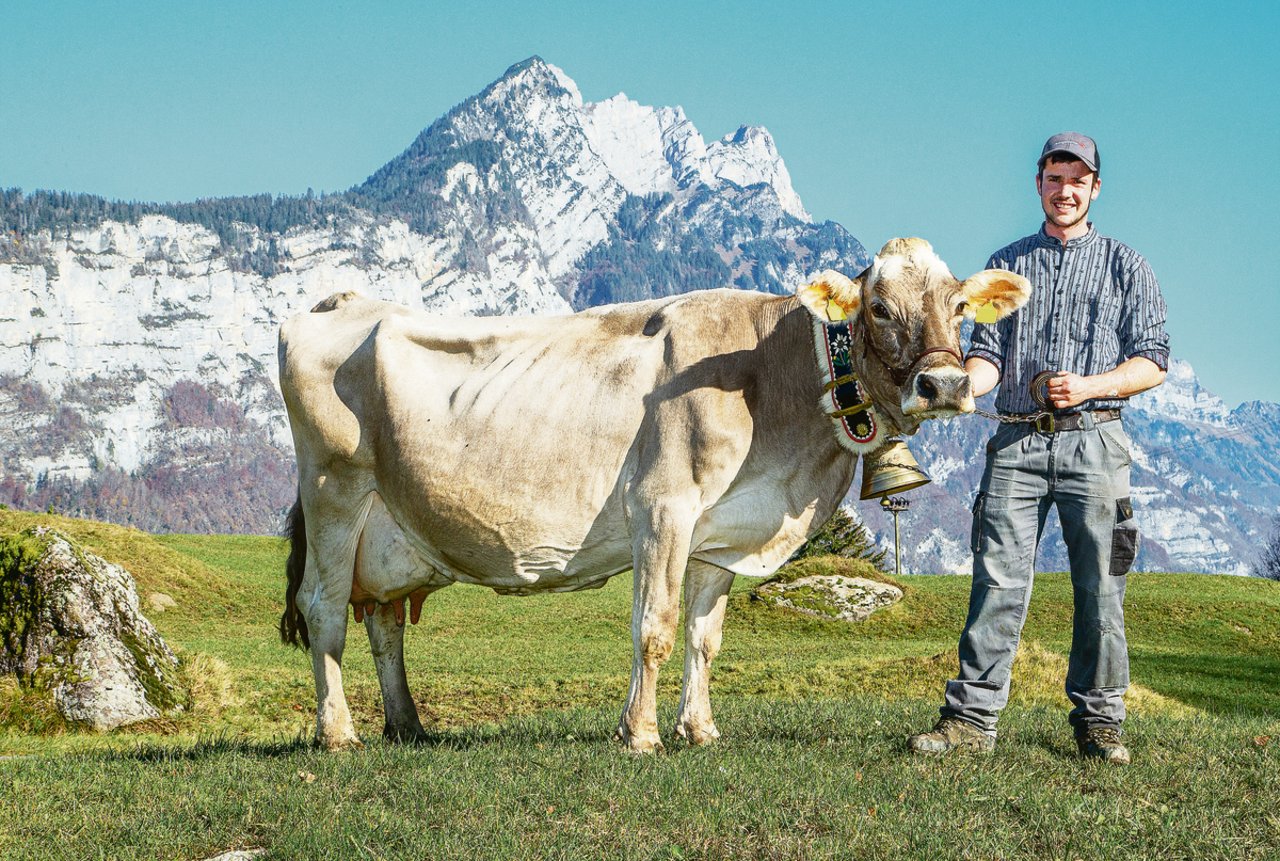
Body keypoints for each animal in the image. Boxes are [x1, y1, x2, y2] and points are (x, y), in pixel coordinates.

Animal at [280, 237, 1029, 747]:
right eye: (878, 306)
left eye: (959, 305)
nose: (945, 385)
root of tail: (342, 301)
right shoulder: (663, 507)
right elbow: (655, 627)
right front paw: (639, 733)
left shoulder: (722, 534)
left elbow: (705, 637)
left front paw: (700, 729)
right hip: (334, 490)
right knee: (324, 609)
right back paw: (338, 732)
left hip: (387, 527)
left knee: (380, 617)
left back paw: (406, 725)